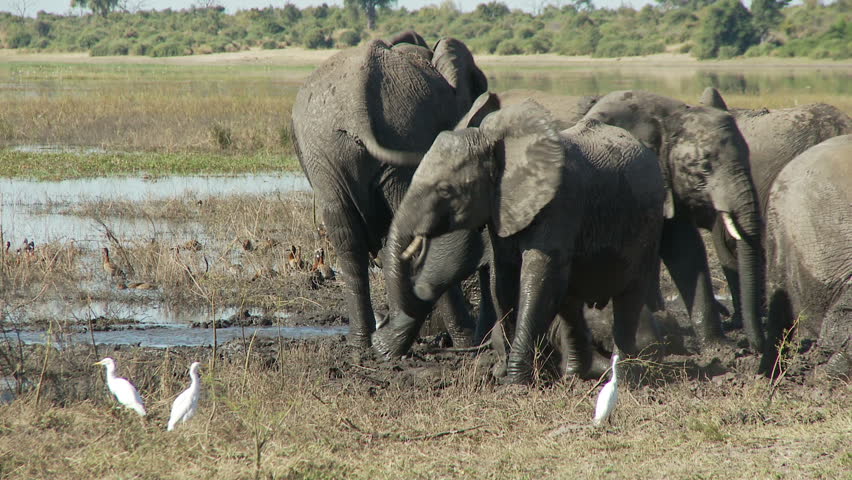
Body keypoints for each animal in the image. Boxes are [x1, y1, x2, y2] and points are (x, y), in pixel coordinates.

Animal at [291, 36, 488, 348]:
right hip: (402, 134)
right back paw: (466, 339)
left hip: (325, 150)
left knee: (347, 239)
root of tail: (357, 101)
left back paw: (360, 343)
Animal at [373, 94, 666, 384]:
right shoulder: (502, 209)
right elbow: (504, 279)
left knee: (629, 297)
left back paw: (622, 377)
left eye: (446, 190)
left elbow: (537, 277)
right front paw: (506, 373)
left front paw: (516, 381)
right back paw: (575, 376)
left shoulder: (560, 204)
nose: (419, 288)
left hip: (648, 230)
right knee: (570, 300)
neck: (497, 144)